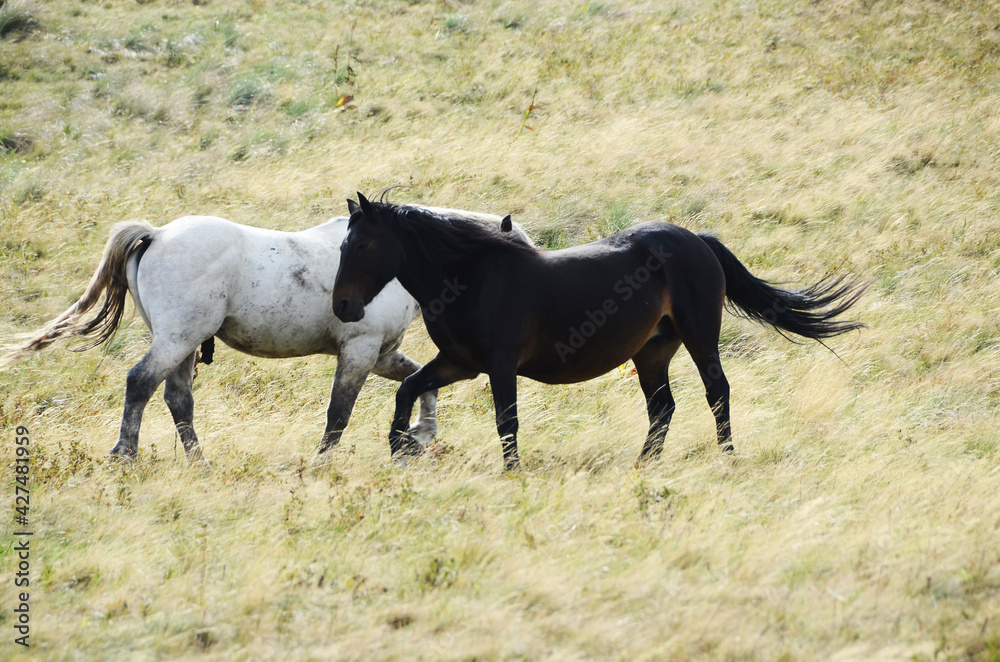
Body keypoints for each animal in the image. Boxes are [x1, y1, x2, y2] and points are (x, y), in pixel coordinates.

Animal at [2, 207, 532, 466]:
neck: (388, 265)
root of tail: (157, 234)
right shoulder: (359, 351)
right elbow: (339, 413)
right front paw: (322, 463)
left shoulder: (381, 352)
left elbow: (418, 381)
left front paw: (422, 435)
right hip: (176, 340)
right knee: (140, 384)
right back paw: (125, 455)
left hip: (184, 345)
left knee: (177, 400)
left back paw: (199, 462)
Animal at [332, 193, 866, 470]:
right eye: (343, 244)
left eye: (362, 245)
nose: (342, 306)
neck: (470, 277)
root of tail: (697, 240)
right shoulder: (459, 363)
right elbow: (407, 388)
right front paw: (402, 446)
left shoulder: (499, 365)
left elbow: (506, 422)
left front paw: (512, 473)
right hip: (653, 350)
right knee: (662, 407)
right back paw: (644, 465)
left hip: (700, 336)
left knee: (717, 392)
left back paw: (726, 457)